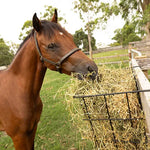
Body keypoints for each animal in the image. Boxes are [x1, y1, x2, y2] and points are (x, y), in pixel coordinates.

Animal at [0, 9, 98, 149]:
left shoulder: (32, 130)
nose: (92, 69)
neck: (17, 90)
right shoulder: (19, 137)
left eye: (71, 37)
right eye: (51, 45)